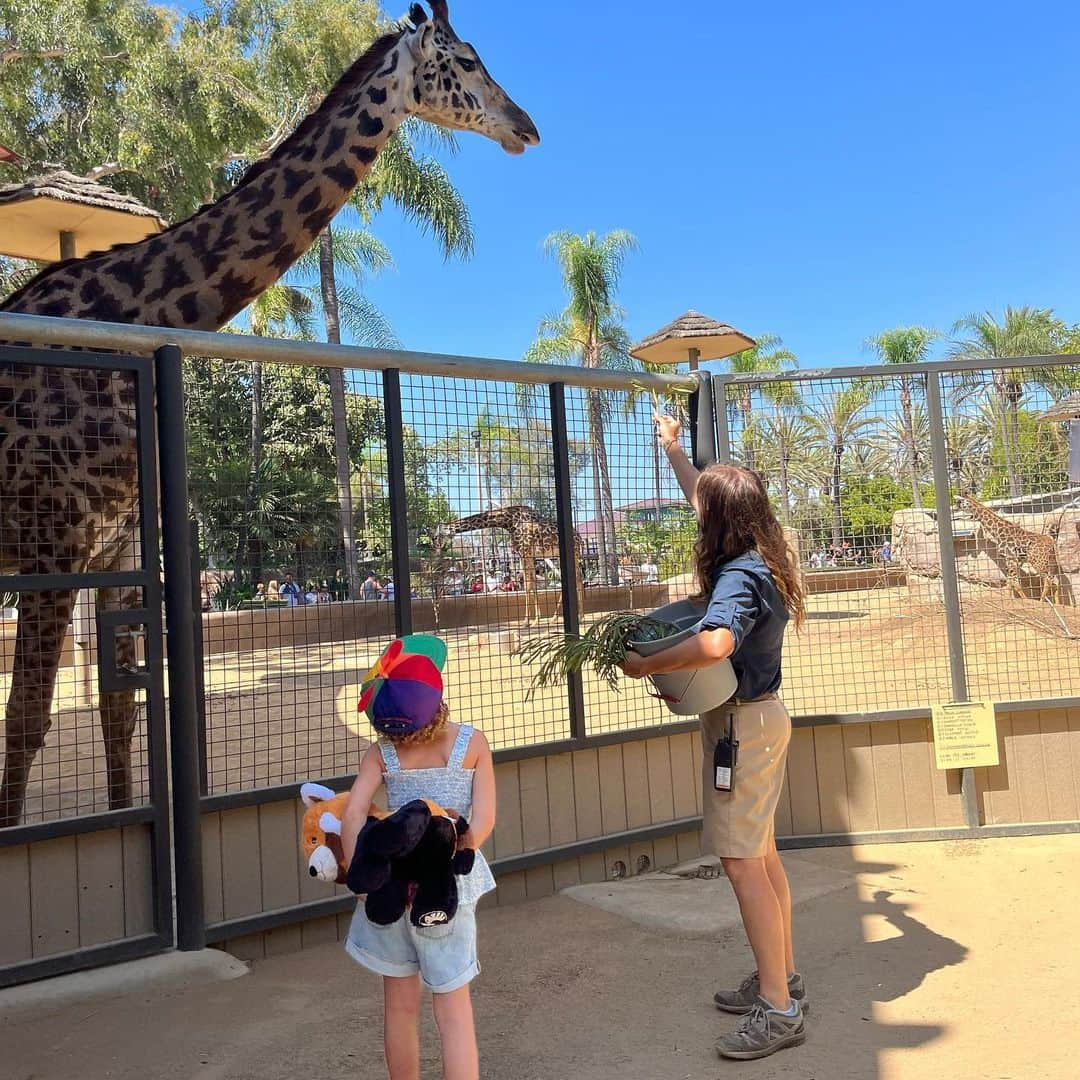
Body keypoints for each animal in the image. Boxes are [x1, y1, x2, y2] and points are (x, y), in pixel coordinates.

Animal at [0, 0, 540, 825]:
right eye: (470, 61)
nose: (526, 125)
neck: (123, 316)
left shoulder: (116, 545)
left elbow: (120, 715)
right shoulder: (51, 539)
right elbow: (26, 724)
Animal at [432, 505, 587, 626]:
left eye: (436, 536)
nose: (436, 549)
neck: (508, 521)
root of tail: (580, 538)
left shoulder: (525, 553)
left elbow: (528, 586)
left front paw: (527, 621)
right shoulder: (525, 555)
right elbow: (532, 586)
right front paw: (535, 620)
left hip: (574, 554)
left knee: (579, 580)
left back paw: (581, 617)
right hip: (561, 556)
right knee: (573, 579)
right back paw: (556, 618)